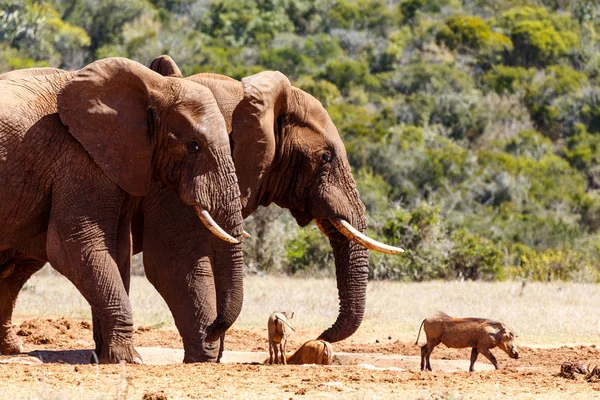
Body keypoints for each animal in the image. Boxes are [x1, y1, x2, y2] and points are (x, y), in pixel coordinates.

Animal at [0, 57, 244, 364]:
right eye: (194, 146)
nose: (214, 328)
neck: (153, 86)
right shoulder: (80, 159)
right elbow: (74, 247)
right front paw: (128, 359)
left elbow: (121, 250)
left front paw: (107, 356)